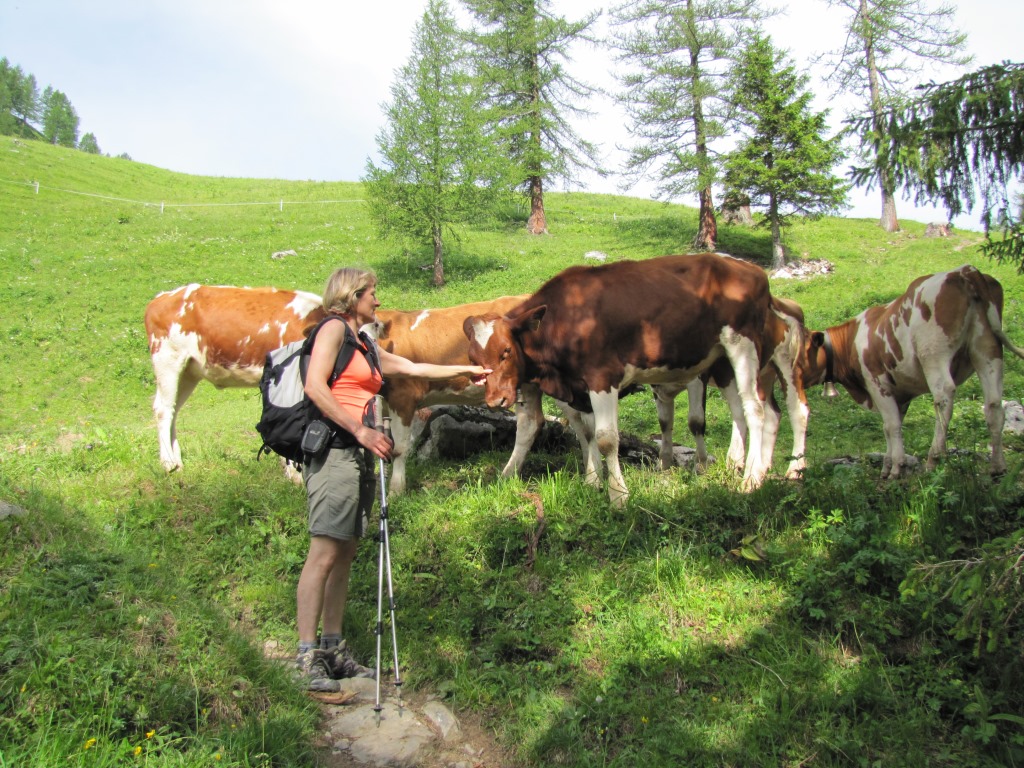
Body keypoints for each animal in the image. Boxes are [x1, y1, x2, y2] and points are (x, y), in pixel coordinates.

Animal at [462, 252, 770, 507]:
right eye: (473, 358)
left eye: (506, 350)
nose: (495, 399)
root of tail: (750, 268)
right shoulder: (577, 390)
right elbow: (583, 433)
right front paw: (591, 481)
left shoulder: (602, 377)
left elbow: (606, 439)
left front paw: (618, 496)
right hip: (720, 360)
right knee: (738, 411)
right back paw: (734, 467)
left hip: (742, 345)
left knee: (755, 409)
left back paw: (751, 479)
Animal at [798, 268, 1024, 479]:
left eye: (800, 353)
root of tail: (965, 270)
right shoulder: (899, 394)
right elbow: (890, 427)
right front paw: (888, 465)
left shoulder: (877, 384)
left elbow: (892, 426)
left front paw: (897, 468)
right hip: (987, 350)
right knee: (993, 404)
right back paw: (997, 466)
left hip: (933, 354)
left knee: (944, 398)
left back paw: (934, 459)